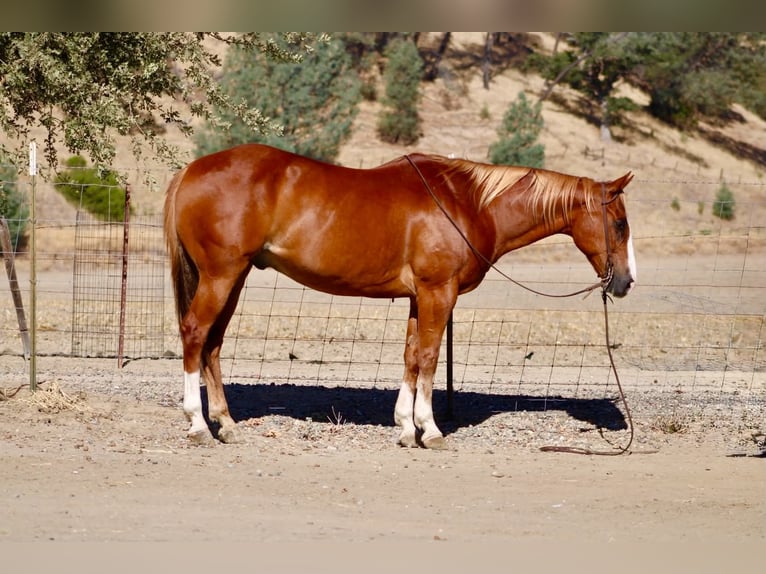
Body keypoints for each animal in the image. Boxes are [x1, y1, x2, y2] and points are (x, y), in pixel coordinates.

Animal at [163, 143, 636, 448]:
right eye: (619, 224)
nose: (626, 281)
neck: (469, 203)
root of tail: (191, 170)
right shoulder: (438, 293)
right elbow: (428, 357)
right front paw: (430, 429)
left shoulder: (417, 298)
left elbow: (411, 357)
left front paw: (406, 428)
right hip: (221, 275)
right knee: (195, 333)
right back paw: (198, 425)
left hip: (234, 277)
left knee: (213, 344)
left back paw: (226, 424)